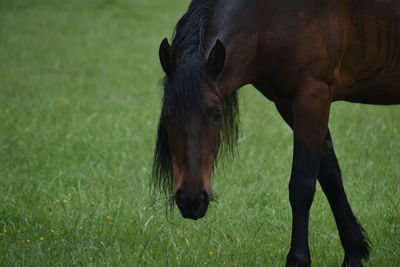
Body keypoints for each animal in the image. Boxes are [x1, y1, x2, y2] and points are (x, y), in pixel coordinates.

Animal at [152, 1, 398, 266]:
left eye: (217, 113)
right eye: (168, 115)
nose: (191, 200)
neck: (267, 16)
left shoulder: (313, 96)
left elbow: (302, 186)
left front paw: (298, 259)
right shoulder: (287, 104)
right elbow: (331, 176)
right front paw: (354, 251)